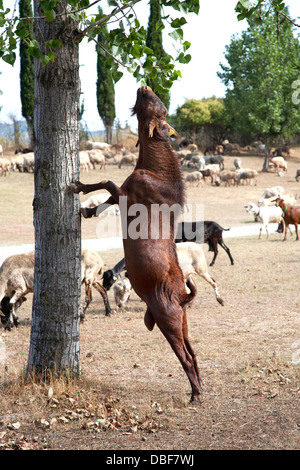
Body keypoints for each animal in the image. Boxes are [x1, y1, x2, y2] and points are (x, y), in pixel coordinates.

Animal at [70, 86, 202, 402]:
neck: (158, 170)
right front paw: (87, 211)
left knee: (184, 357)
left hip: (168, 321)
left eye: (156, 105)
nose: (145, 87)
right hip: (183, 322)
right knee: (193, 351)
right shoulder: (123, 192)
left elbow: (106, 183)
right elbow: (105, 198)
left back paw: (195, 392)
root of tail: (182, 297)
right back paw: (200, 386)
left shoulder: (128, 192)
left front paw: (77, 187)